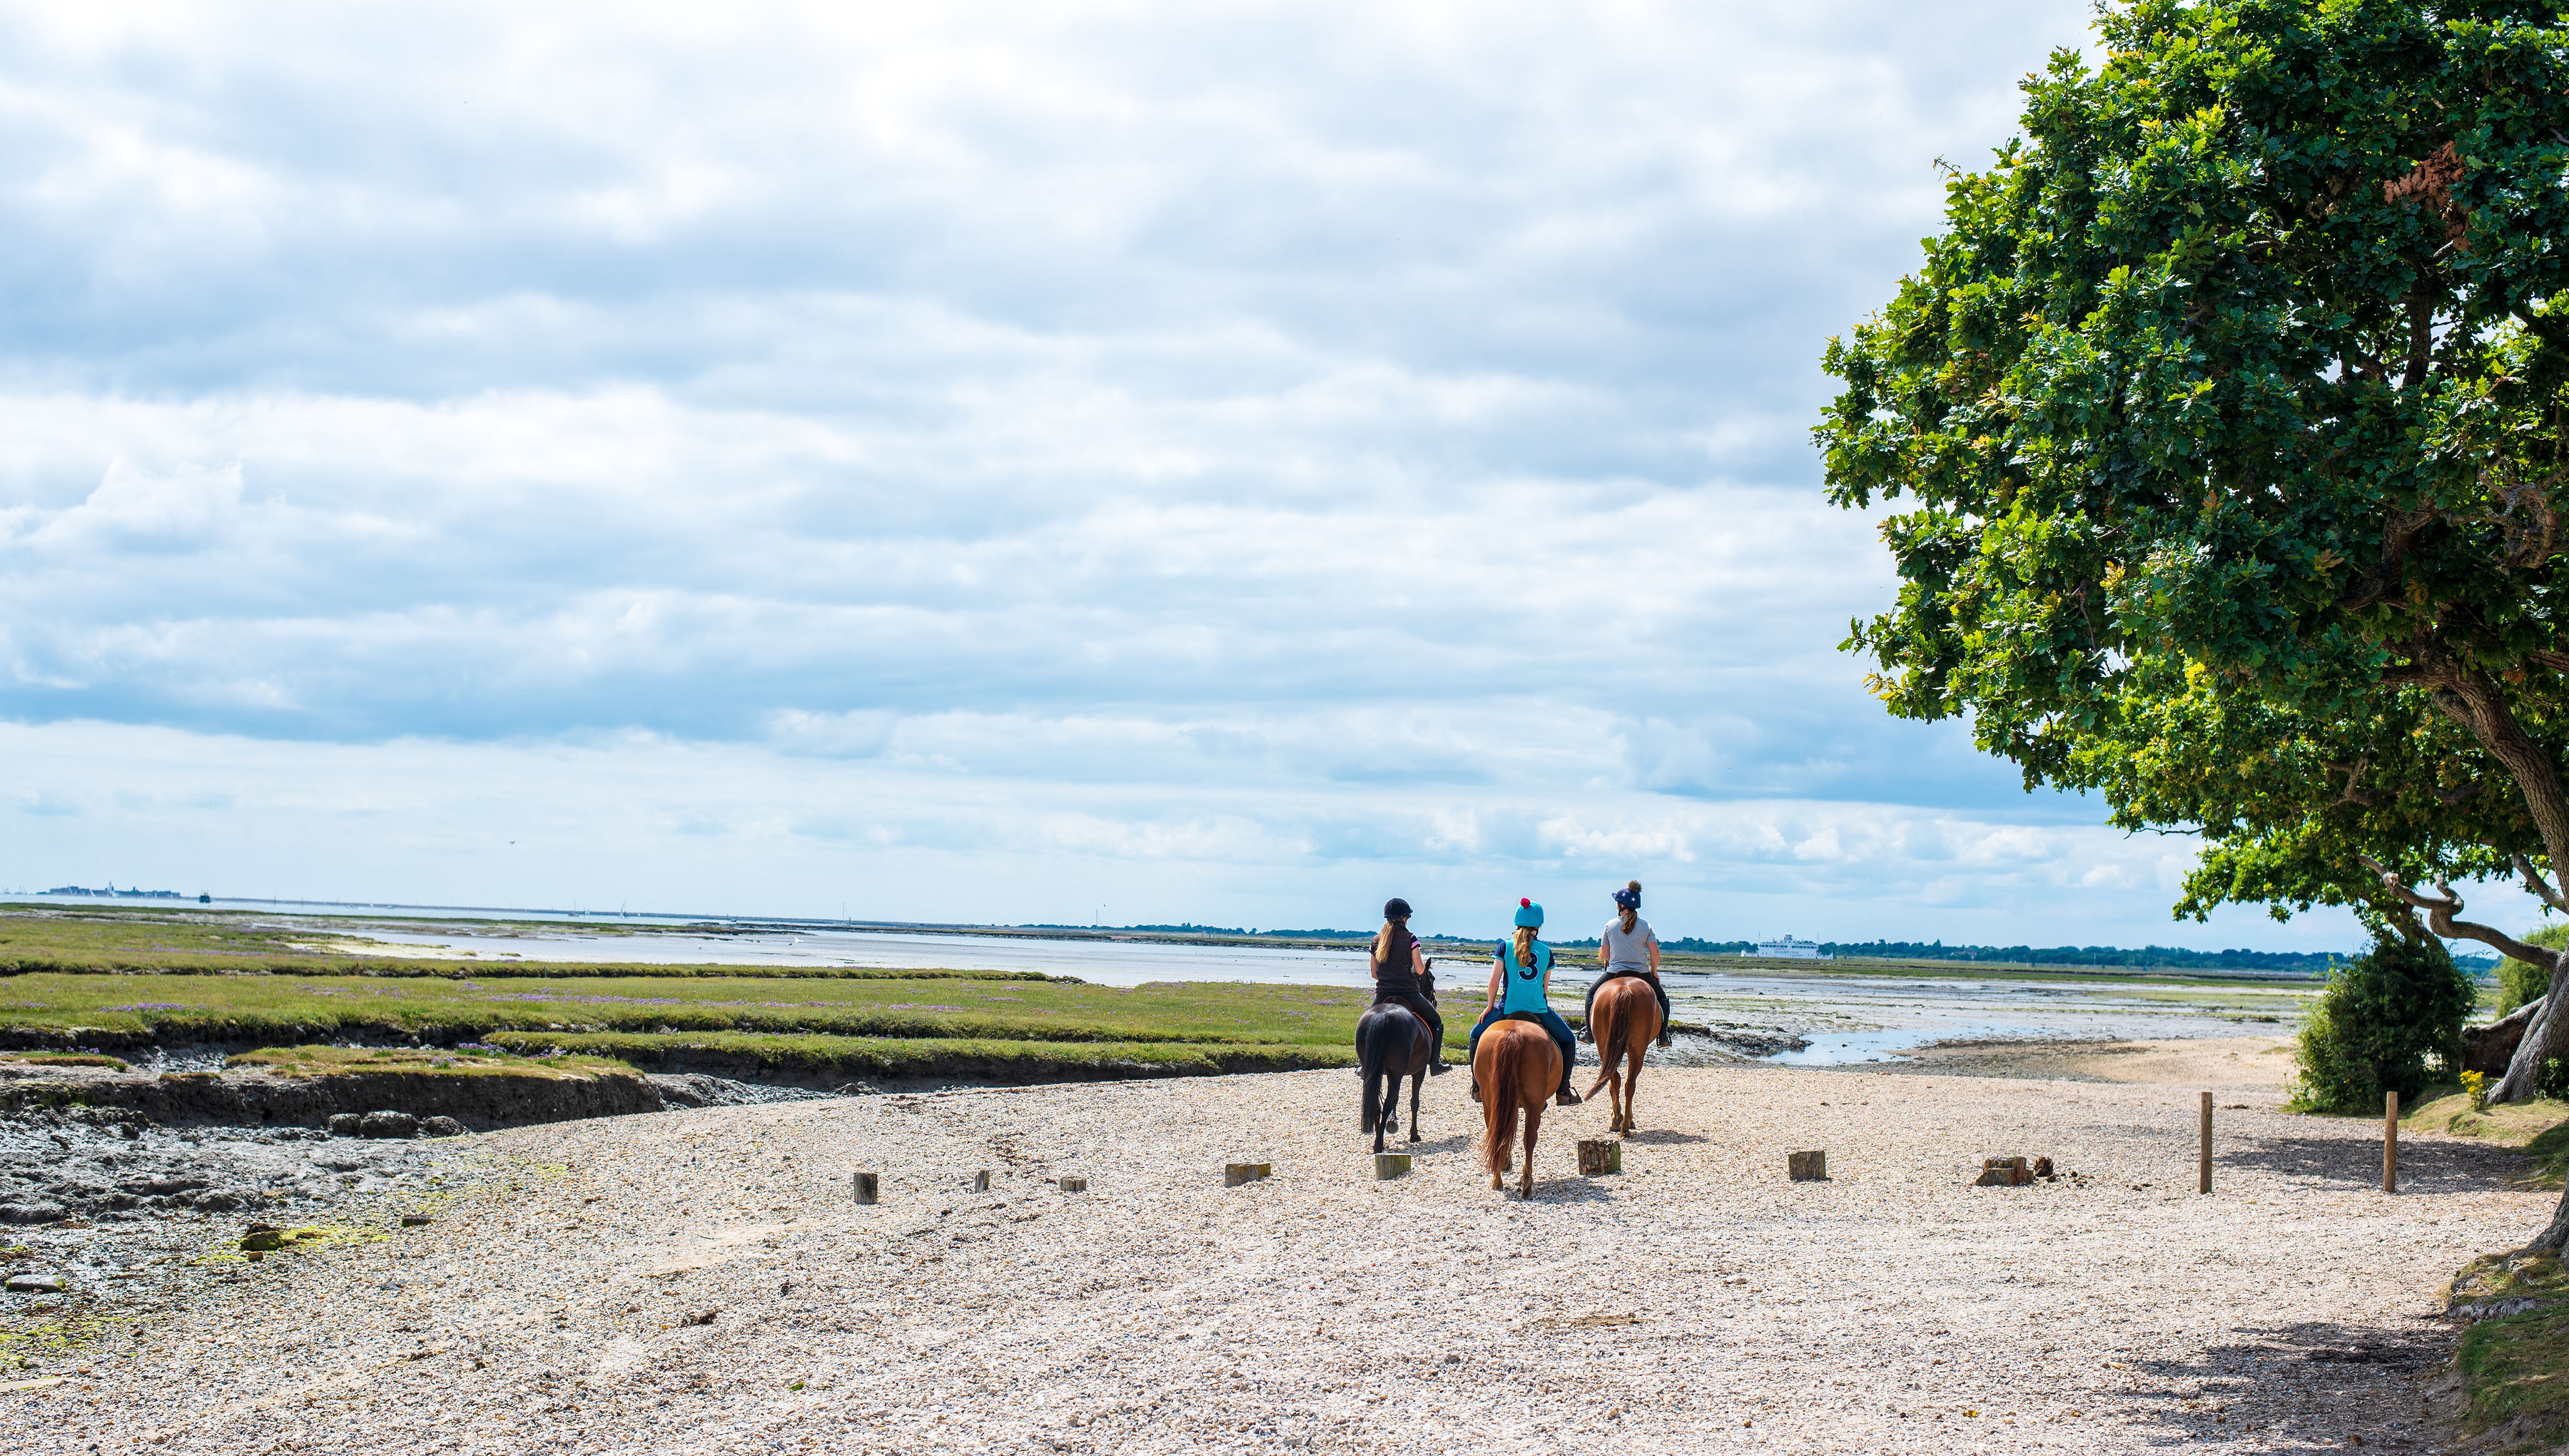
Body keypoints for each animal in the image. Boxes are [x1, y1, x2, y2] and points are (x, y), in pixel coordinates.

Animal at [1355, 1001, 1433, 1153]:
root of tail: (1382, 1015)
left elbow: (1396, 1098)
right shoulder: (1419, 1071)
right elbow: (1414, 1102)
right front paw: (1414, 1135)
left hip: (1374, 1071)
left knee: (1376, 1103)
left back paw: (1378, 1139)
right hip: (1397, 1074)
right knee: (1386, 1105)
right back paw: (1378, 1144)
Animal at [1474, 1016, 1563, 1199]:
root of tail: (1513, 1032)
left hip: (1490, 1098)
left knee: (1496, 1131)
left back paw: (1497, 1180)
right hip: (1533, 1103)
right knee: (1530, 1138)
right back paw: (1527, 1185)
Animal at [1583, 973, 1662, 1135]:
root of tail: (1624, 989)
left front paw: (1616, 1117)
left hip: (1604, 1048)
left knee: (1616, 1080)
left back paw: (1618, 1120)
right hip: (1637, 1050)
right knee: (1629, 1084)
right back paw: (1626, 1124)